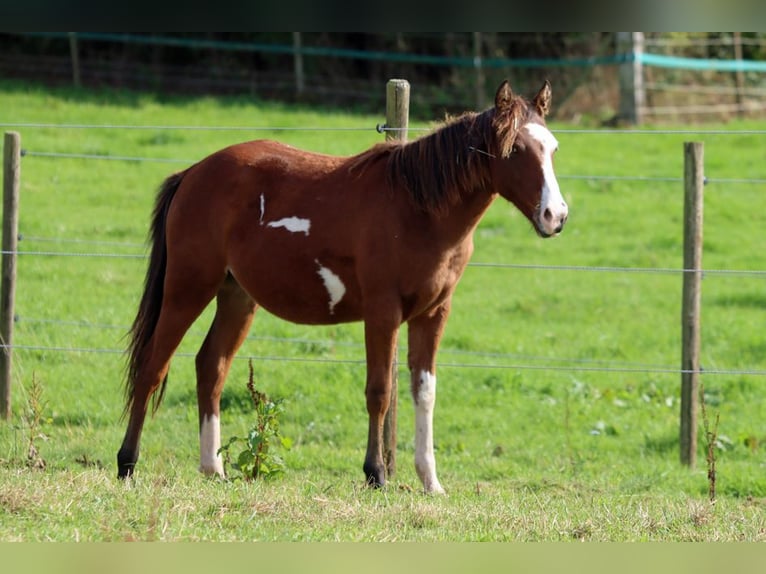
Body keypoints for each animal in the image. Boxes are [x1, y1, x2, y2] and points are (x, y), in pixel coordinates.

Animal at [117, 80, 568, 493]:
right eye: (515, 149)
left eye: (553, 148)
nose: (556, 215)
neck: (418, 209)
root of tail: (192, 173)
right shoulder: (383, 312)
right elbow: (380, 391)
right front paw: (376, 473)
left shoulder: (433, 313)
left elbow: (424, 393)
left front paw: (430, 481)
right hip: (188, 288)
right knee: (153, 366)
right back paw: (127, 463)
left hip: (237, 297)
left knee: (211, 366)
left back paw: (214, 468)